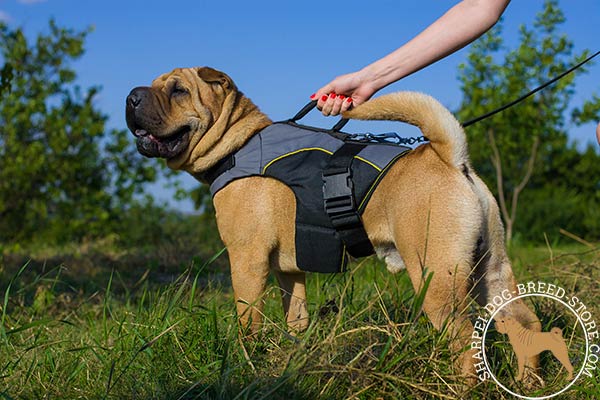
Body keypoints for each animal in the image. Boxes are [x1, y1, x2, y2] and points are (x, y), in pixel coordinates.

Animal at [125, 67, 540, 380]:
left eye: (178, 90)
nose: (131, 96)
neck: (238, 144)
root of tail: (450, 158)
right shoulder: (289, 272)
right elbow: (296, 317)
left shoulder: (247, 261)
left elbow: (248, 321)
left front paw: (245, 361)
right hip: (492, 272)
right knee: (525, 324)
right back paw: (529, 383)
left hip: (436, 279)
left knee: (465, 340)